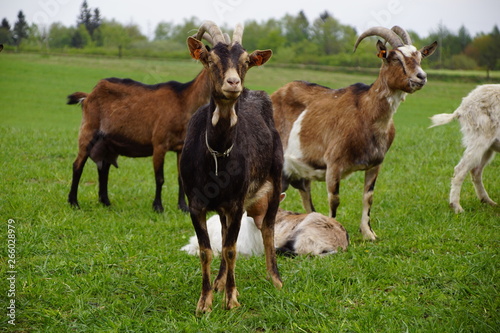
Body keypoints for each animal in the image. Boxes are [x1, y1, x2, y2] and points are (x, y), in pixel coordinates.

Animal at [65, 35, 212, 211]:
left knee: (103, 168)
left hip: (107, 142)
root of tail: (88, 96)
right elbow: (160, 178)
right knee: (77, 165)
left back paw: (105, 201)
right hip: (88, 130)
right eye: (212, 60)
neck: (184, 101)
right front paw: (158, 207)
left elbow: (180, 178)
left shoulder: (181, 146)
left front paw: (183, 207)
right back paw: (74, 202)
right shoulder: (159, 144)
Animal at [180, 21, 282, 314]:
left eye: (246, 61)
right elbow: (207, 250)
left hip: (276, 177)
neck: (217, 157)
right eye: (211, 60)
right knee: (225, 233)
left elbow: (231, 249)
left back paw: (275, 279)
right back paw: (218, 282)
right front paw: (205, 301)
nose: (233, 83)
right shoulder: (196, 203)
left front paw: (232, 300)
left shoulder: (237, 203)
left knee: (268, 227)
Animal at [270, 26, 438, 239]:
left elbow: (368, 197)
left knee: (306, 197)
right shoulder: (333, 163)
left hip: (297, 173)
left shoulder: (375, 164)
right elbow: (334, 199)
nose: (421, 77)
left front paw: (368, 233)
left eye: (420, 57)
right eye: (394, 58)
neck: (366, 114)